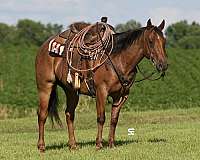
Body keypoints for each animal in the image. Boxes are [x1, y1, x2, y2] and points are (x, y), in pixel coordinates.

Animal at [35, 18, 167, 151]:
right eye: (151, 41)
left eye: (164, 41)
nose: (163, 64)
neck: (117, 59)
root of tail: (43, 48)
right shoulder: (101, 92)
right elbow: (101, 118)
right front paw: (98, 144)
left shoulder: (121, 95)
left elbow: (114, 119)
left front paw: (111, 144)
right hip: (45, 87)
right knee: (42, 114)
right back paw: (41, 146)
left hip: (71, 91)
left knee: (69, 114)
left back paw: (73, 145)